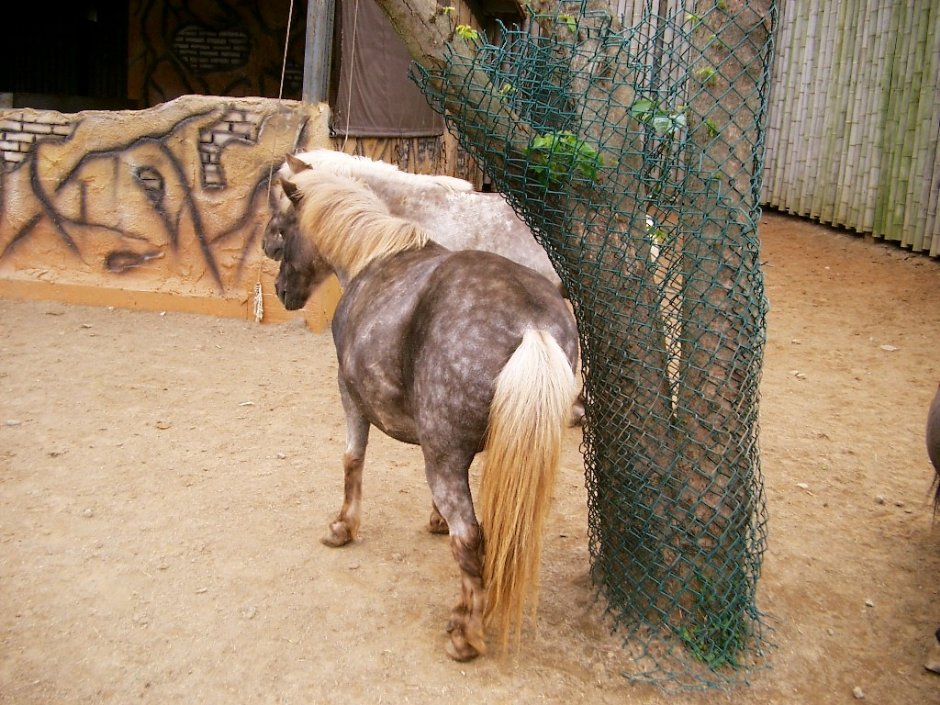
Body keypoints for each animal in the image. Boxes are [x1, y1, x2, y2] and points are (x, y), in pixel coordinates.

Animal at [267, 160, 579, 661]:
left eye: (282, 226)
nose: (280, 290)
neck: (376, 254)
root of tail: (532, 324)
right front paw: (434, 519)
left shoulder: (350, 394)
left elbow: (352, 460)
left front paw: (342, 527)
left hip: (444, 458)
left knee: (470, 537)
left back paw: (465, 632)